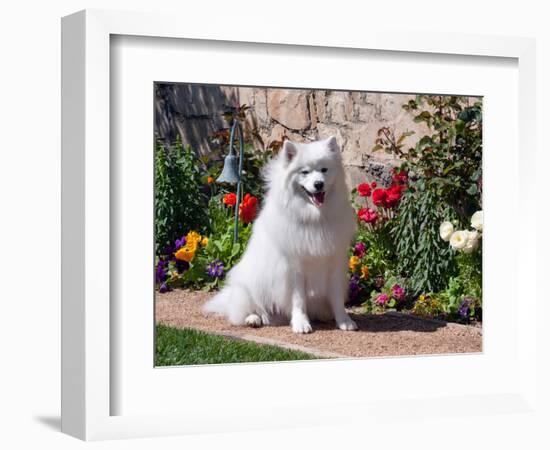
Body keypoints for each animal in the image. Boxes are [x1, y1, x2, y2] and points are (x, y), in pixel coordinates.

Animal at [203, 137, 358, 334]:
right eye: (305, 172)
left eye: (324, 169)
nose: (319, 184)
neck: (315, 217)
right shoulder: (294, 268)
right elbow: (299, 300)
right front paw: (301, 324)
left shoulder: (334, 262)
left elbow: (337, 298)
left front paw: (344, 321)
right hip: (249, 283)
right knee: (249, 309)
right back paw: (254, 318)